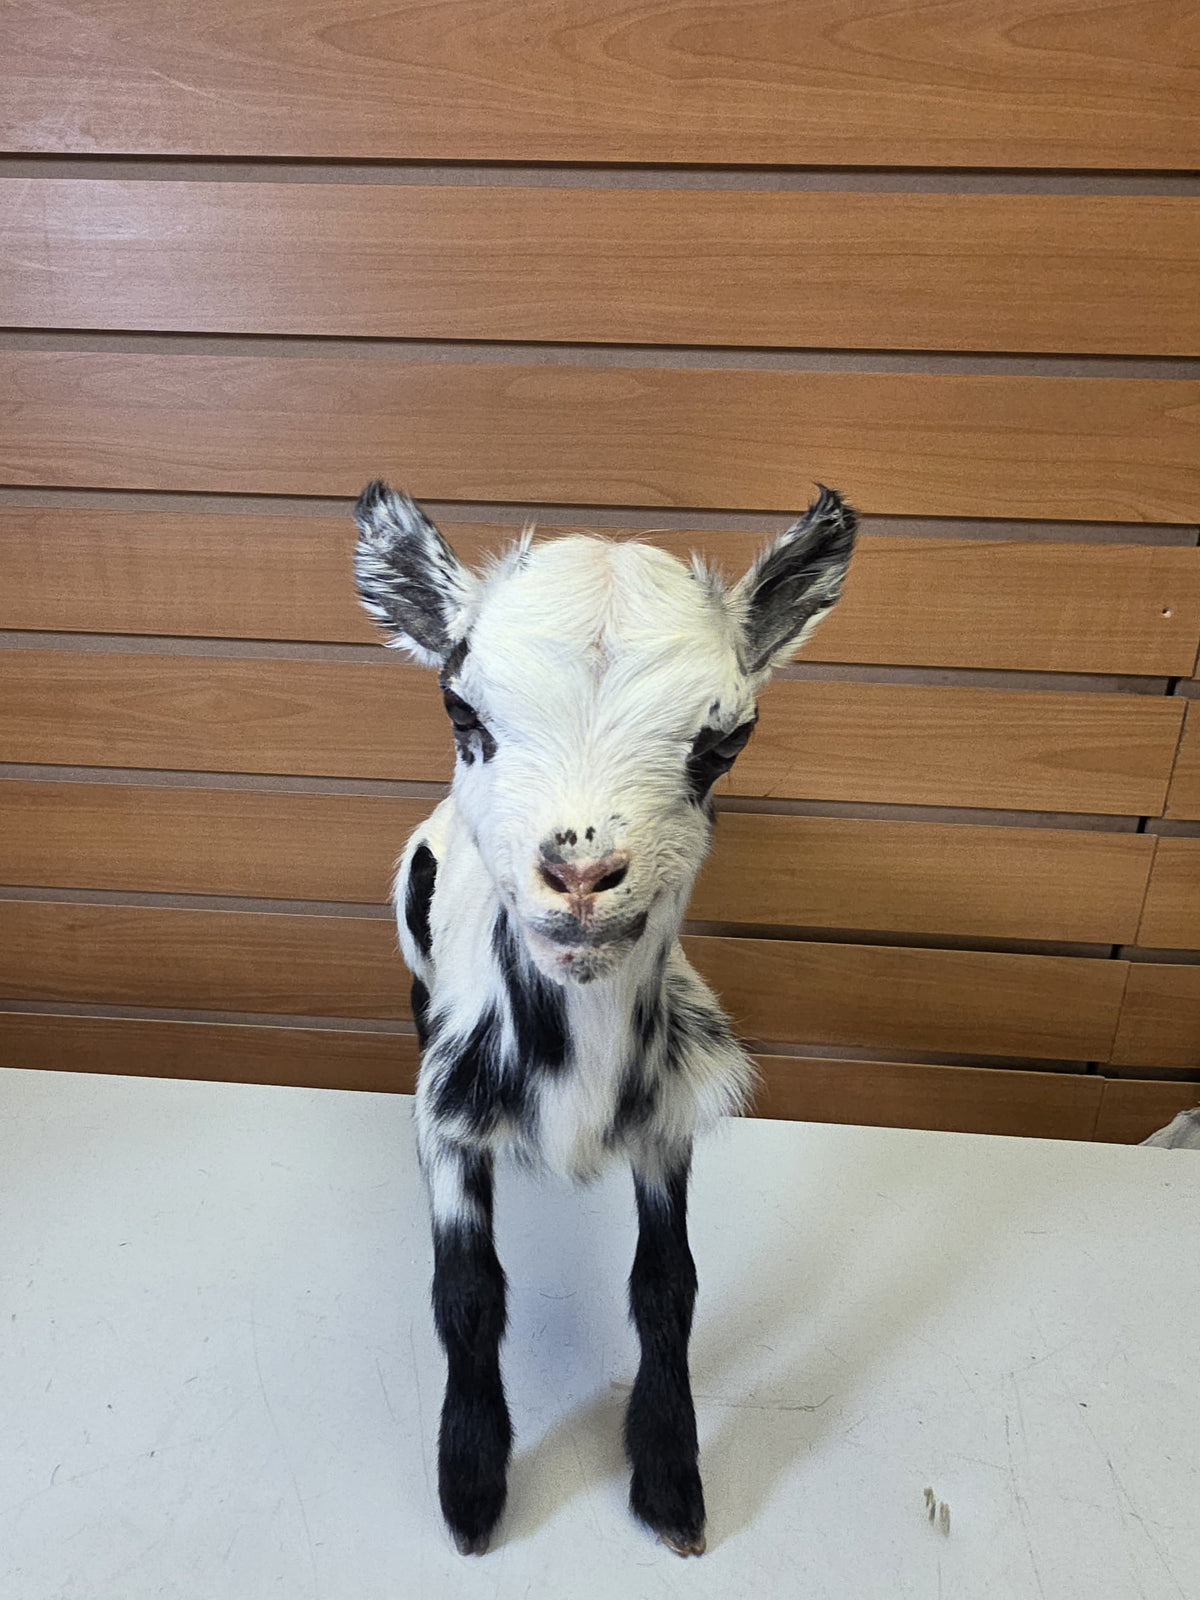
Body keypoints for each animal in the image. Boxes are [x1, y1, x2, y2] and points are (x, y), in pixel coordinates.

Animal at [353, 481, 857, 1557]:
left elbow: (667, 1287)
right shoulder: (448, 1114)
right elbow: (466, 1290)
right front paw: (471, 1485)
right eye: (461, 707)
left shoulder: (668, 1118)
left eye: (725, 741)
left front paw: (671, 1480)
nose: (582, 872)